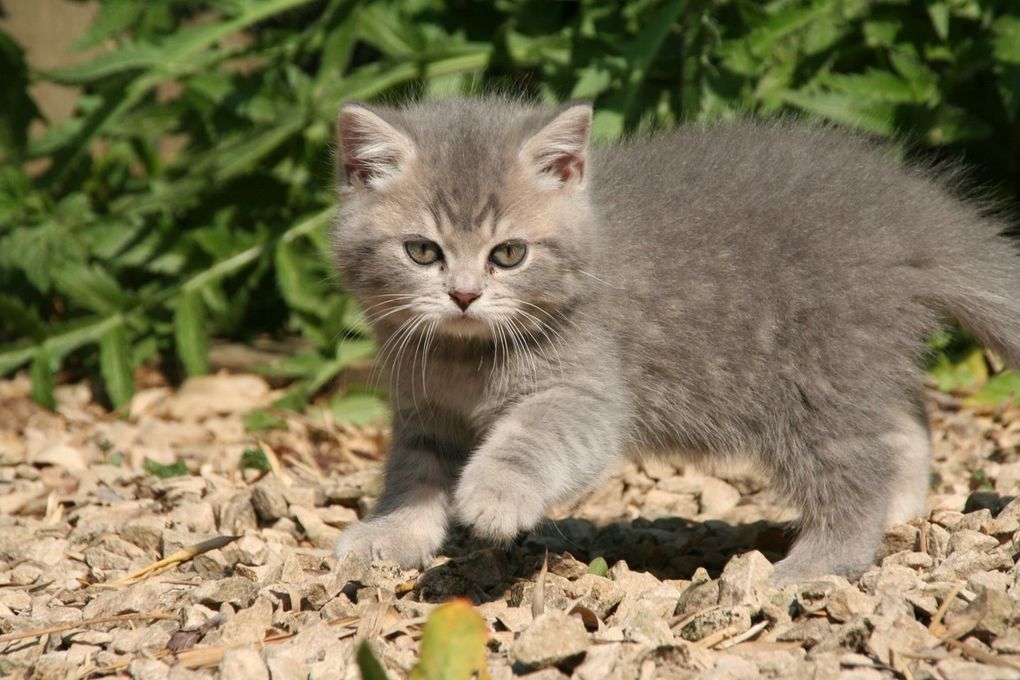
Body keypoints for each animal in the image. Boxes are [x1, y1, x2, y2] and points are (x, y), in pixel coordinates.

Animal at [328, 98, 1020, 583]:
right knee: (904, 421)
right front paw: (389, 536)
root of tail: (910, 214)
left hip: (815, 376)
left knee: (855, 470)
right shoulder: (424, 409)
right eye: (422, 252)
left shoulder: (585, 392)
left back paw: (815, 566)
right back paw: (901, 510)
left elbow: (532, 439)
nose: (465, 295)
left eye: (509, 254)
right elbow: (413, 474)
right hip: (857, 364)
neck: (463, 357)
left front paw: (494, 496)